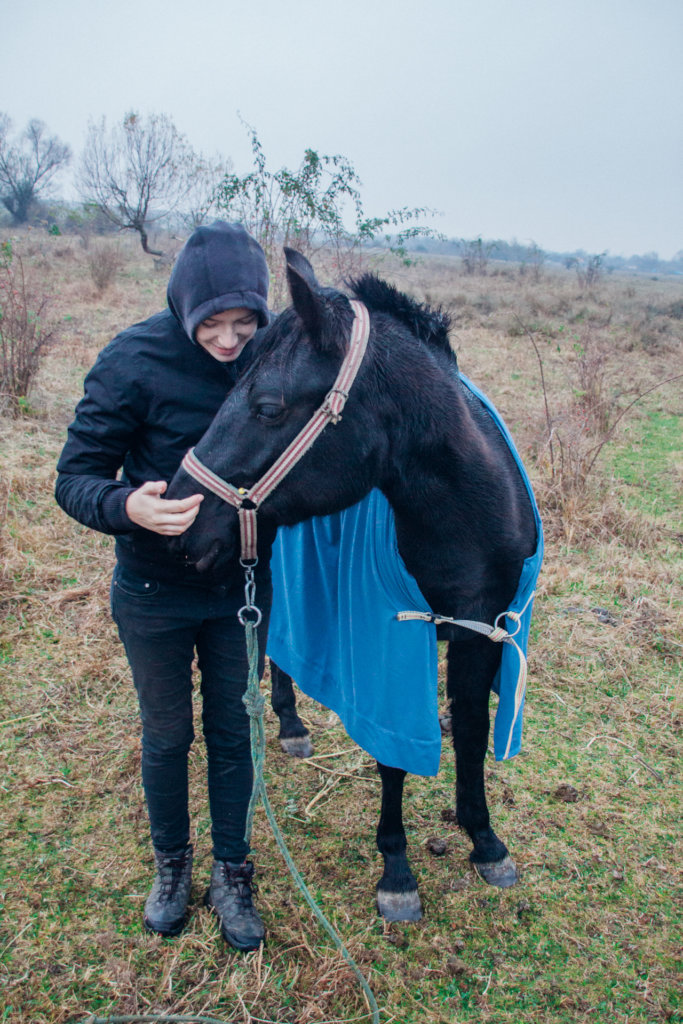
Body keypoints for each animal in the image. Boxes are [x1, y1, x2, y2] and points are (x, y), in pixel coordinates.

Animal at [167, 249, 540, 921]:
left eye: (267, 406)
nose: (180, 524)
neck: (469, 518)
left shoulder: (485, 630)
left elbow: (473, 731)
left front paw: (484, 839)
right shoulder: (385, 641)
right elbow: (392, 756)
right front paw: (397, 871)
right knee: (272, 642)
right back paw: (289, 725)